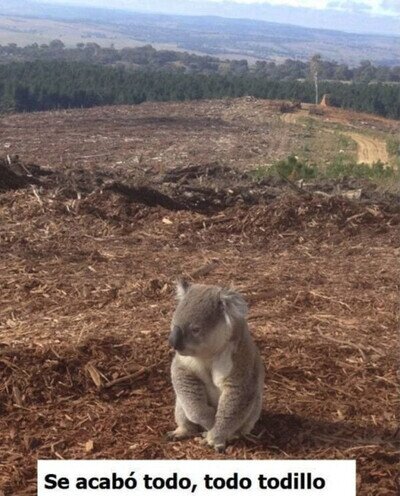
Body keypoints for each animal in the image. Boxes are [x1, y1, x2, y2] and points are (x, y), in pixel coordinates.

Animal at [167, 280, 264, 452]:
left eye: (195, 329)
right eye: (173, 324)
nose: (173, 342)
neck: (209, 354)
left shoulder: (238, 363)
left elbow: (234, 401)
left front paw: (214, 437)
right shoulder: (184, 365)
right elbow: (187, 388)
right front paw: (209, 423)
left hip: (252, 413)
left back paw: (232, 436)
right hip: (179, 405)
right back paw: (181, 431)